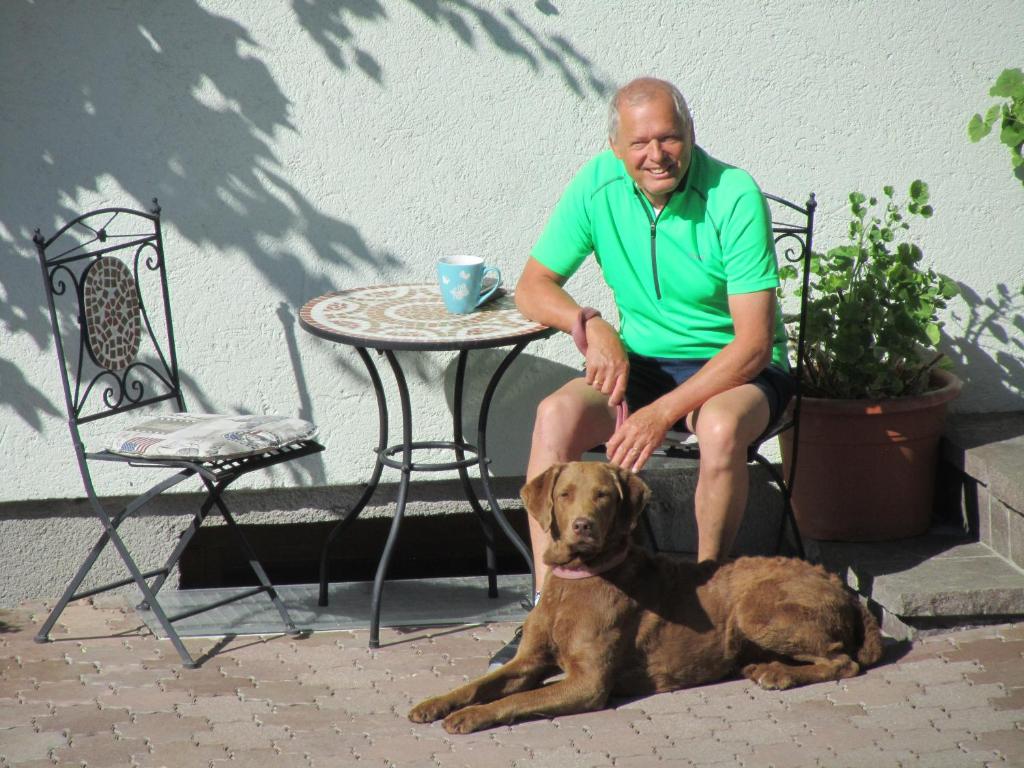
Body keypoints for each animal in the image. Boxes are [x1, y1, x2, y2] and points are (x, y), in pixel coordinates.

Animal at [407, 460, 880, 737]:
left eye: (602, 495)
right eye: (564, 494)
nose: (582, 526)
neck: (576, 578)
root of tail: (845, 587)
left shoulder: (589, 683)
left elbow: (516, 700)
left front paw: (471, 716)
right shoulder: (529, 660)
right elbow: (479, 685)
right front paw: (436, 703)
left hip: (756, 610)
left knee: (843, 660)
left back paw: (778, 673)